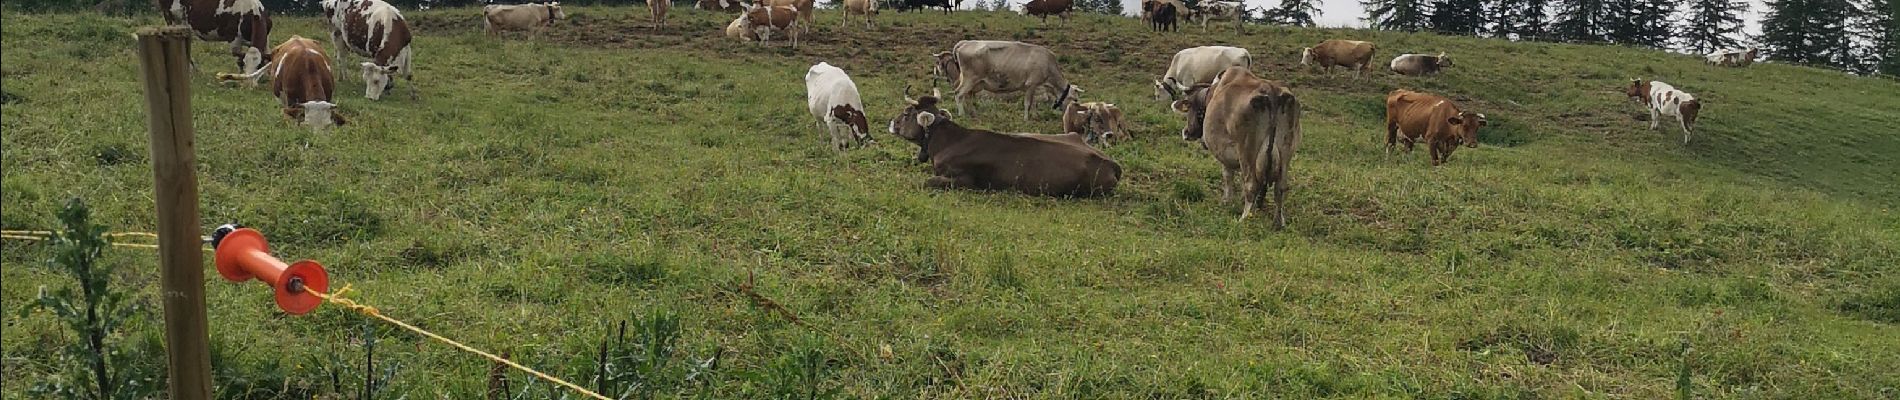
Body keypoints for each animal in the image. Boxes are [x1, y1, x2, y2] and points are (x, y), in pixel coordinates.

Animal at [934, 40, 1086, 122]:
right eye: (1075, 99)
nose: (1072, 113)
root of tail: (965, 42)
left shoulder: (1035, 87)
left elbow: (1034, 103)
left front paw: (1035, 115)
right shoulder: (1031, 85)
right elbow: (1028, 103)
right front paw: (1026, 119)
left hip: (975, 83)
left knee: (968, 97)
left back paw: (973, 114)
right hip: (969, 79)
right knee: (959, 94)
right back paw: (962, 114)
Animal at [1170, 65, 1307, 228]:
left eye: (1190, 107)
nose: (1186, 132)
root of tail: (1271, 92)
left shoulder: (1224, 152)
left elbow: (1227, 176)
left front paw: (1227, 200)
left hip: (1246, 151)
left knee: (1251, 184)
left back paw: (1244, 218)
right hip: (1286, 152)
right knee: (1280, 188)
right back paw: (1278, 221)